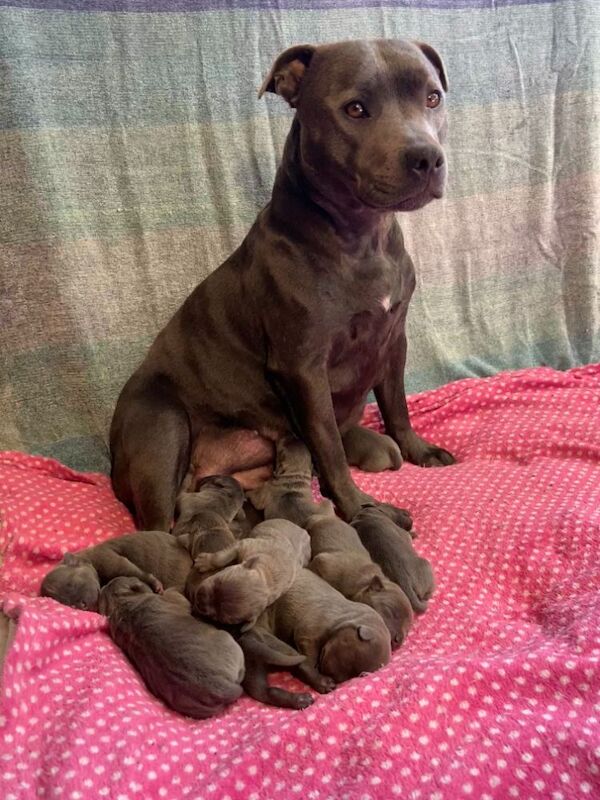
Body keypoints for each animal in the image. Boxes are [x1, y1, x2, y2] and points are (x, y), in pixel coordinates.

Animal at [39, 532, 192, 612]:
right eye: (67, 604)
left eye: (73, 584)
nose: (83, 605)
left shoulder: (109, 560)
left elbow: (135, 571)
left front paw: (156, 584)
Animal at [304, 512, 412, 648]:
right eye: (390, 611)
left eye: (408, 630)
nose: (399, 640)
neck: (363, 582)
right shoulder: (323, 562)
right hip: (313, 524)